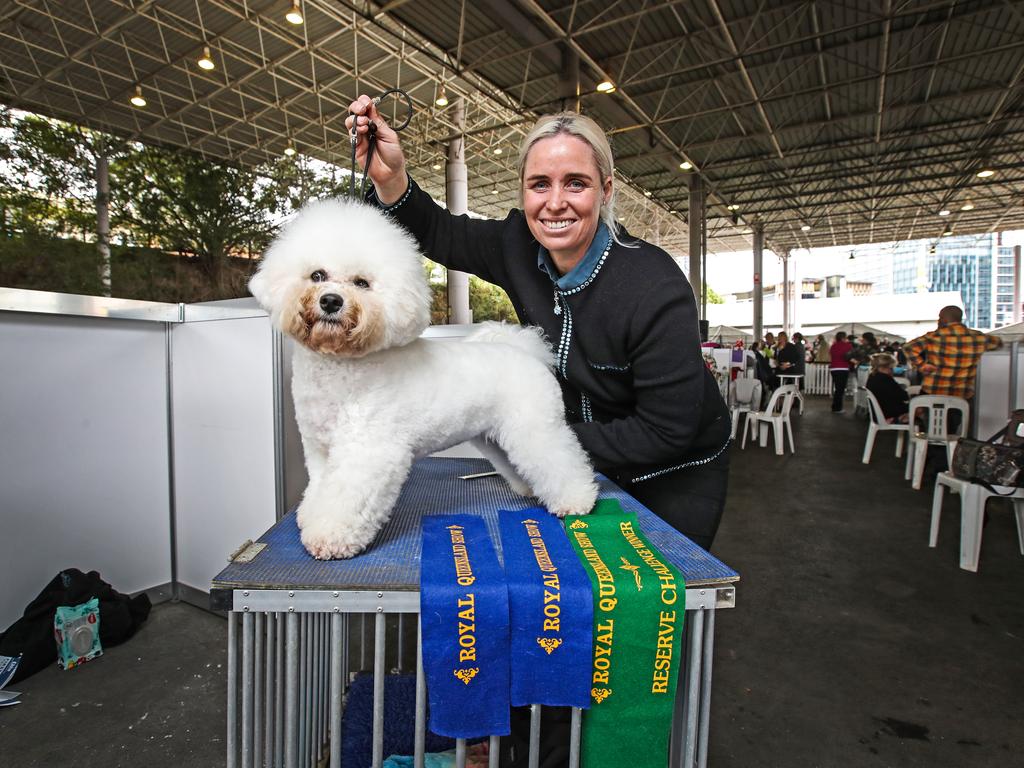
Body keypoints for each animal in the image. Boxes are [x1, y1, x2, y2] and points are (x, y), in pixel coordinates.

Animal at [249, 198, 598, 561]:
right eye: (317, 275)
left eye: (361, 283)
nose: (331, 300)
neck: (343, 366)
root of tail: (525, 351)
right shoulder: (320, 450)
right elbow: (319, 489)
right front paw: (309, 518)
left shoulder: (367, 451)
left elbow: (346, 499)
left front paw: (330, 537)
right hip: (497, 436)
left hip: (536, 429)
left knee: (561, 460)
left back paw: (578, 499)